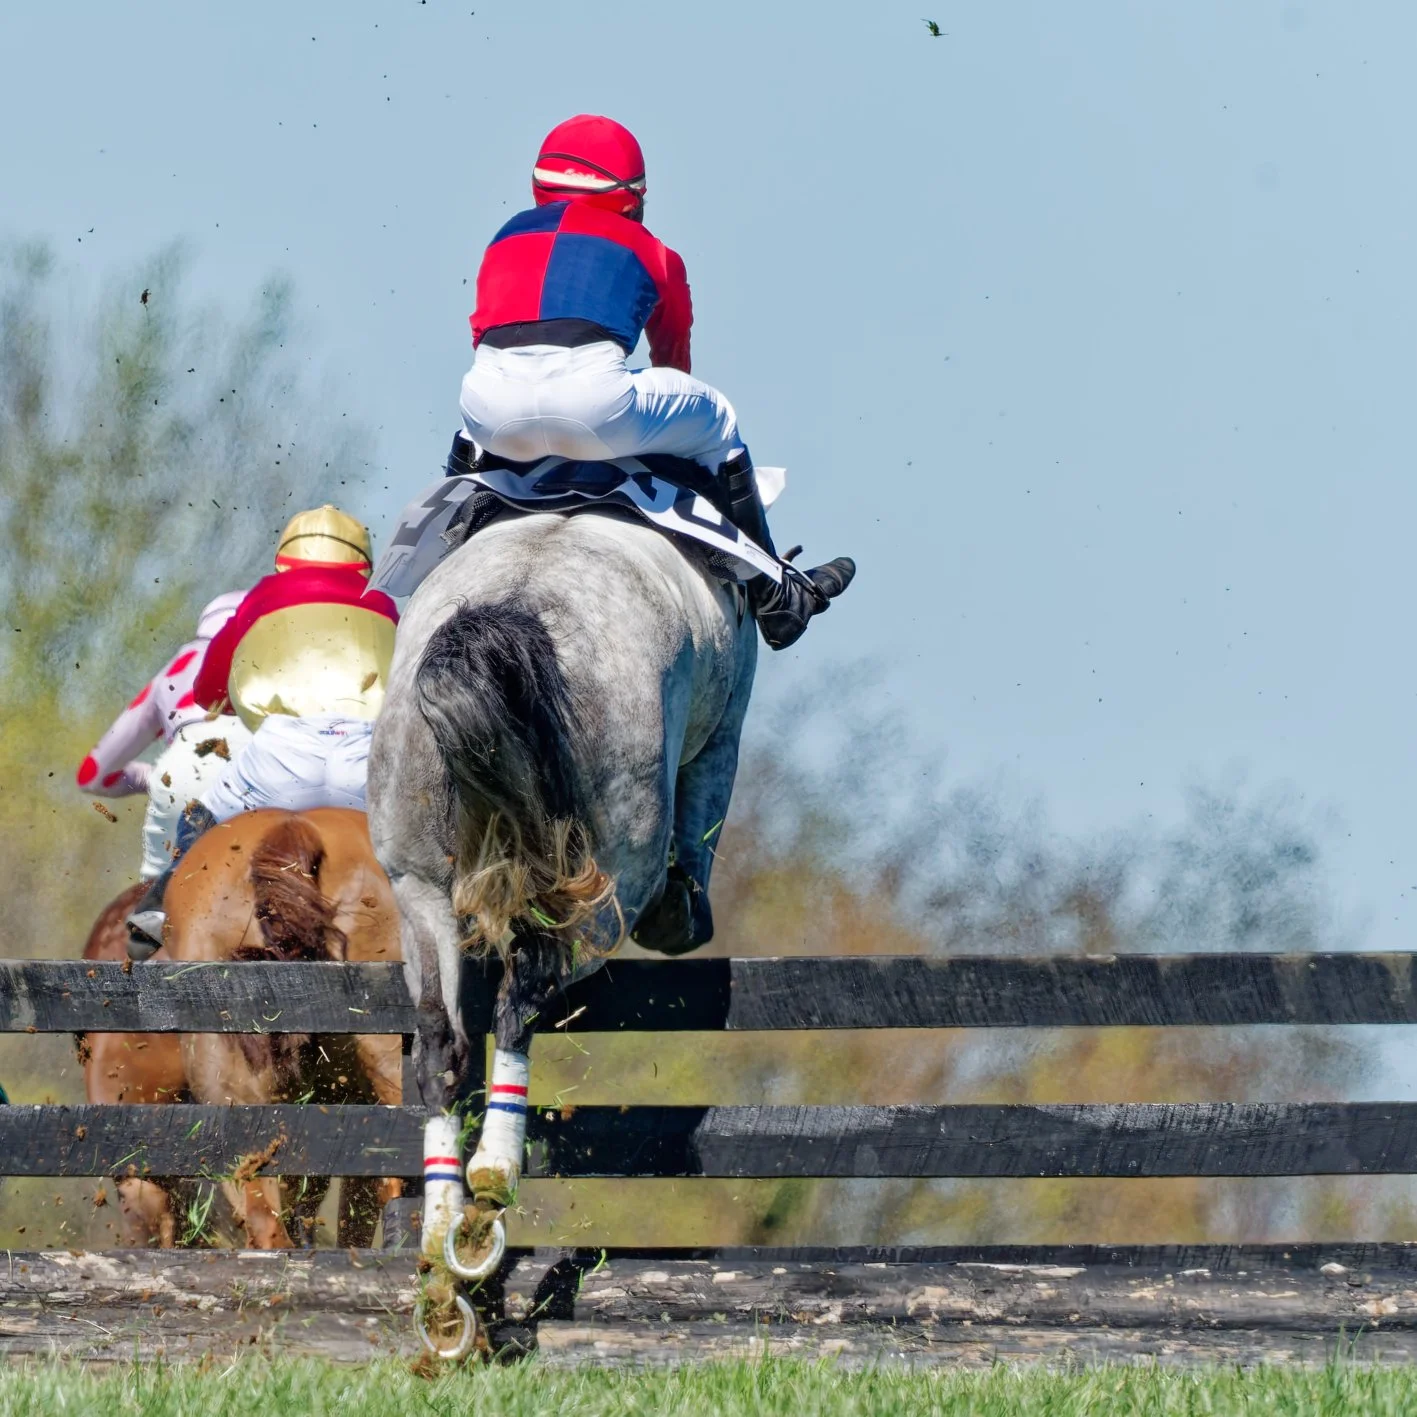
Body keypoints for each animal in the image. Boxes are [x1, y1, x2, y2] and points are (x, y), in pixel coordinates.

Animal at [367, 507, 756, 1357]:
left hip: (418, 889)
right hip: (603, 890)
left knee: (442, 1045)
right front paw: (686, 909)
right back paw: (486, 1195)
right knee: (523, 1002)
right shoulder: (724, 726)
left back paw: (443, 1252)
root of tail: (513, 603)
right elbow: (708, 800)